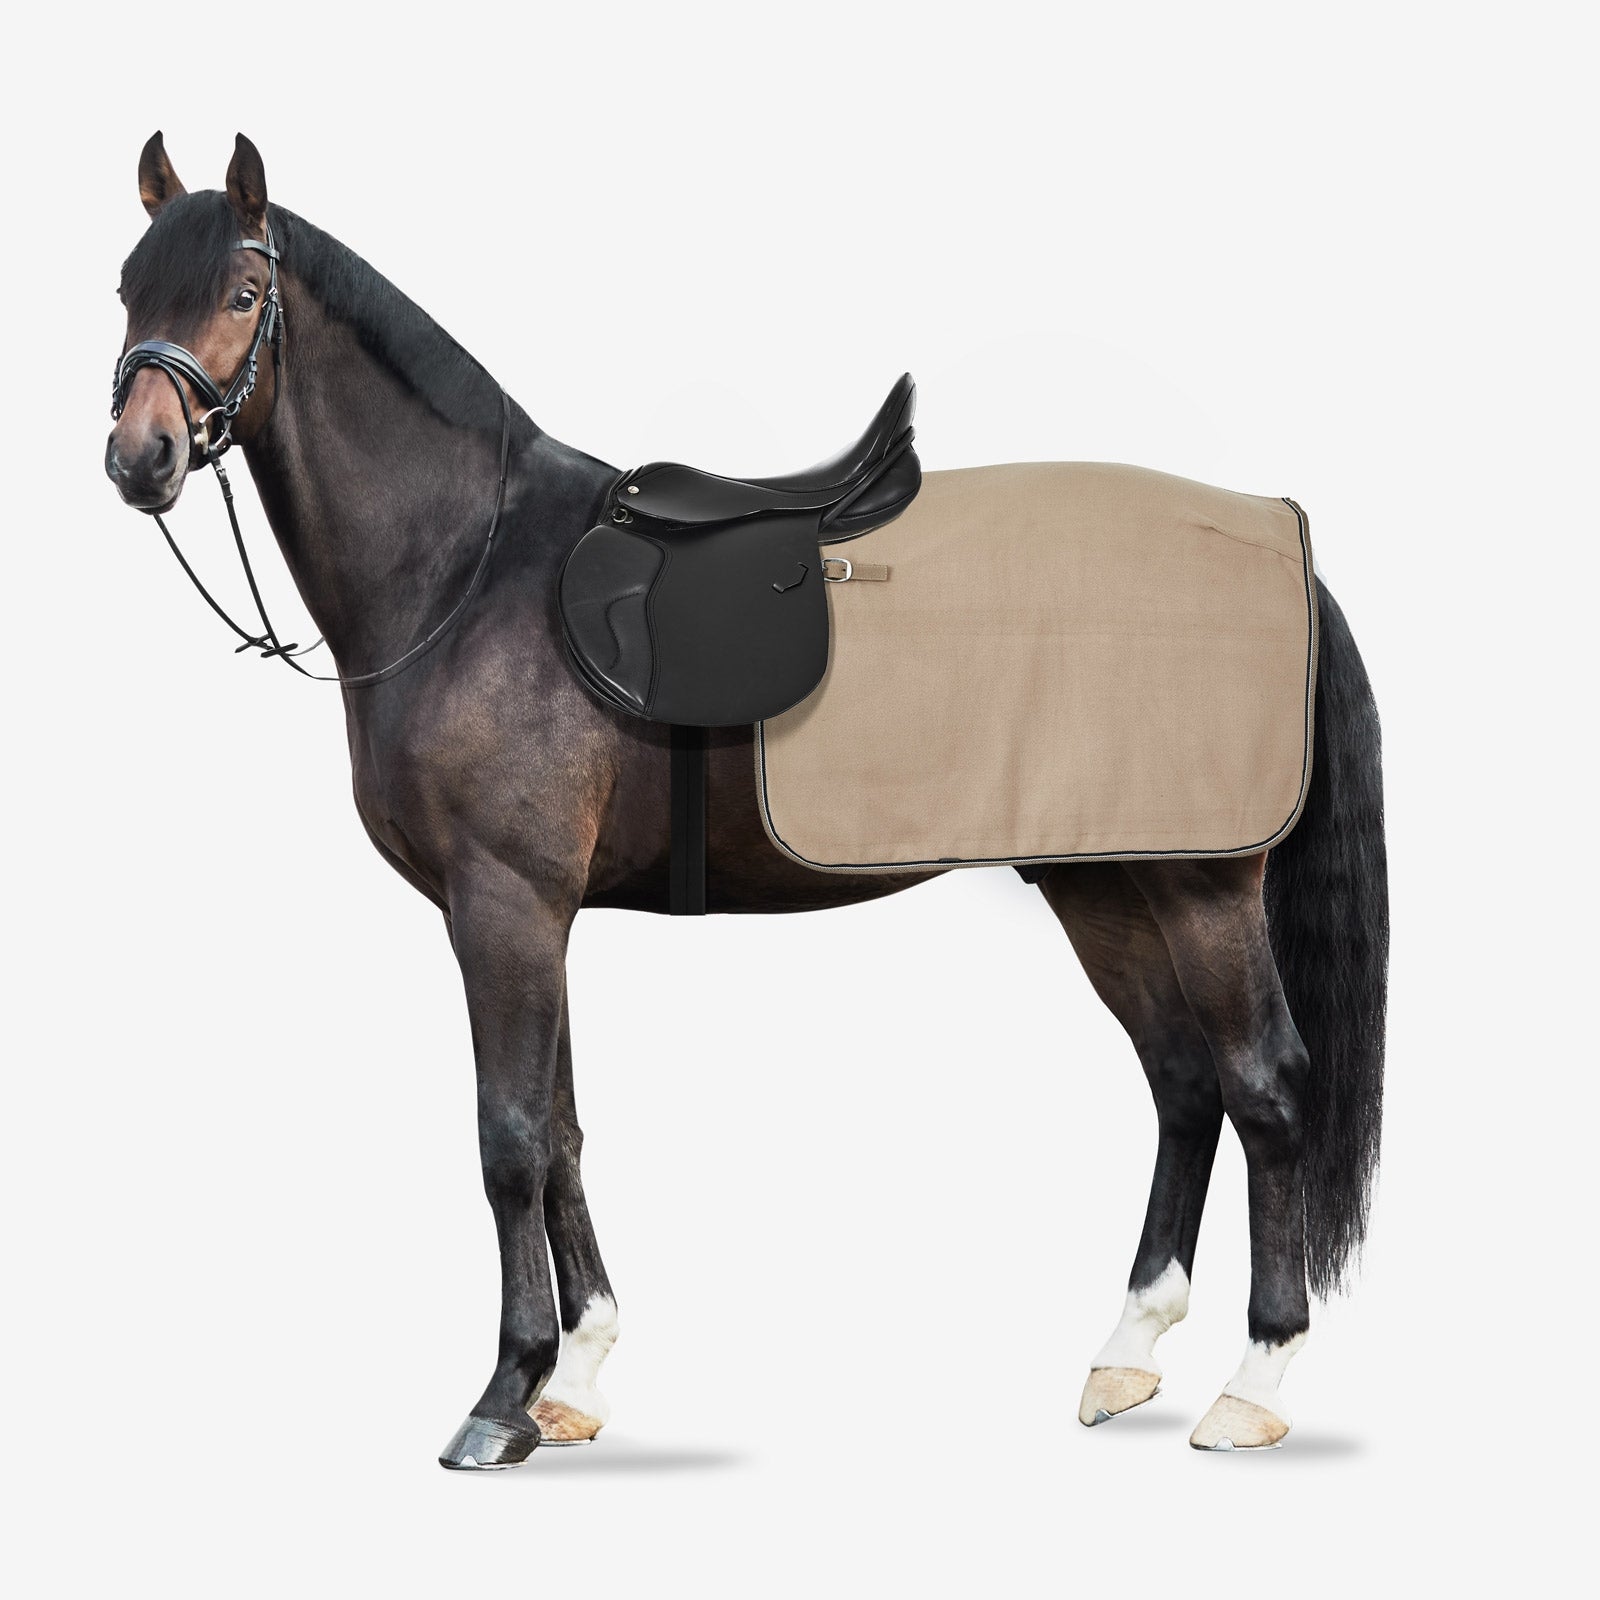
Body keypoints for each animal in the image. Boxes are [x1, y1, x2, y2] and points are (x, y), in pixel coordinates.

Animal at [105, 132, 1388, 1469]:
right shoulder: (534, 913)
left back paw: (1256, 1380)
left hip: (1202, 886)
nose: (140, 457)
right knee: (1183, 1083)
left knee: (1266, 1088)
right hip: (1103, 882)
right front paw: (578, 1374)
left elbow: (508, 1138)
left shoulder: (502, 904)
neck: (468, 566)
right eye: (127, 290)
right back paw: (1127, 1352)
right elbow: (562, 1129)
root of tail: (1276, 538)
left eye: (240, 294)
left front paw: (503, 1394)